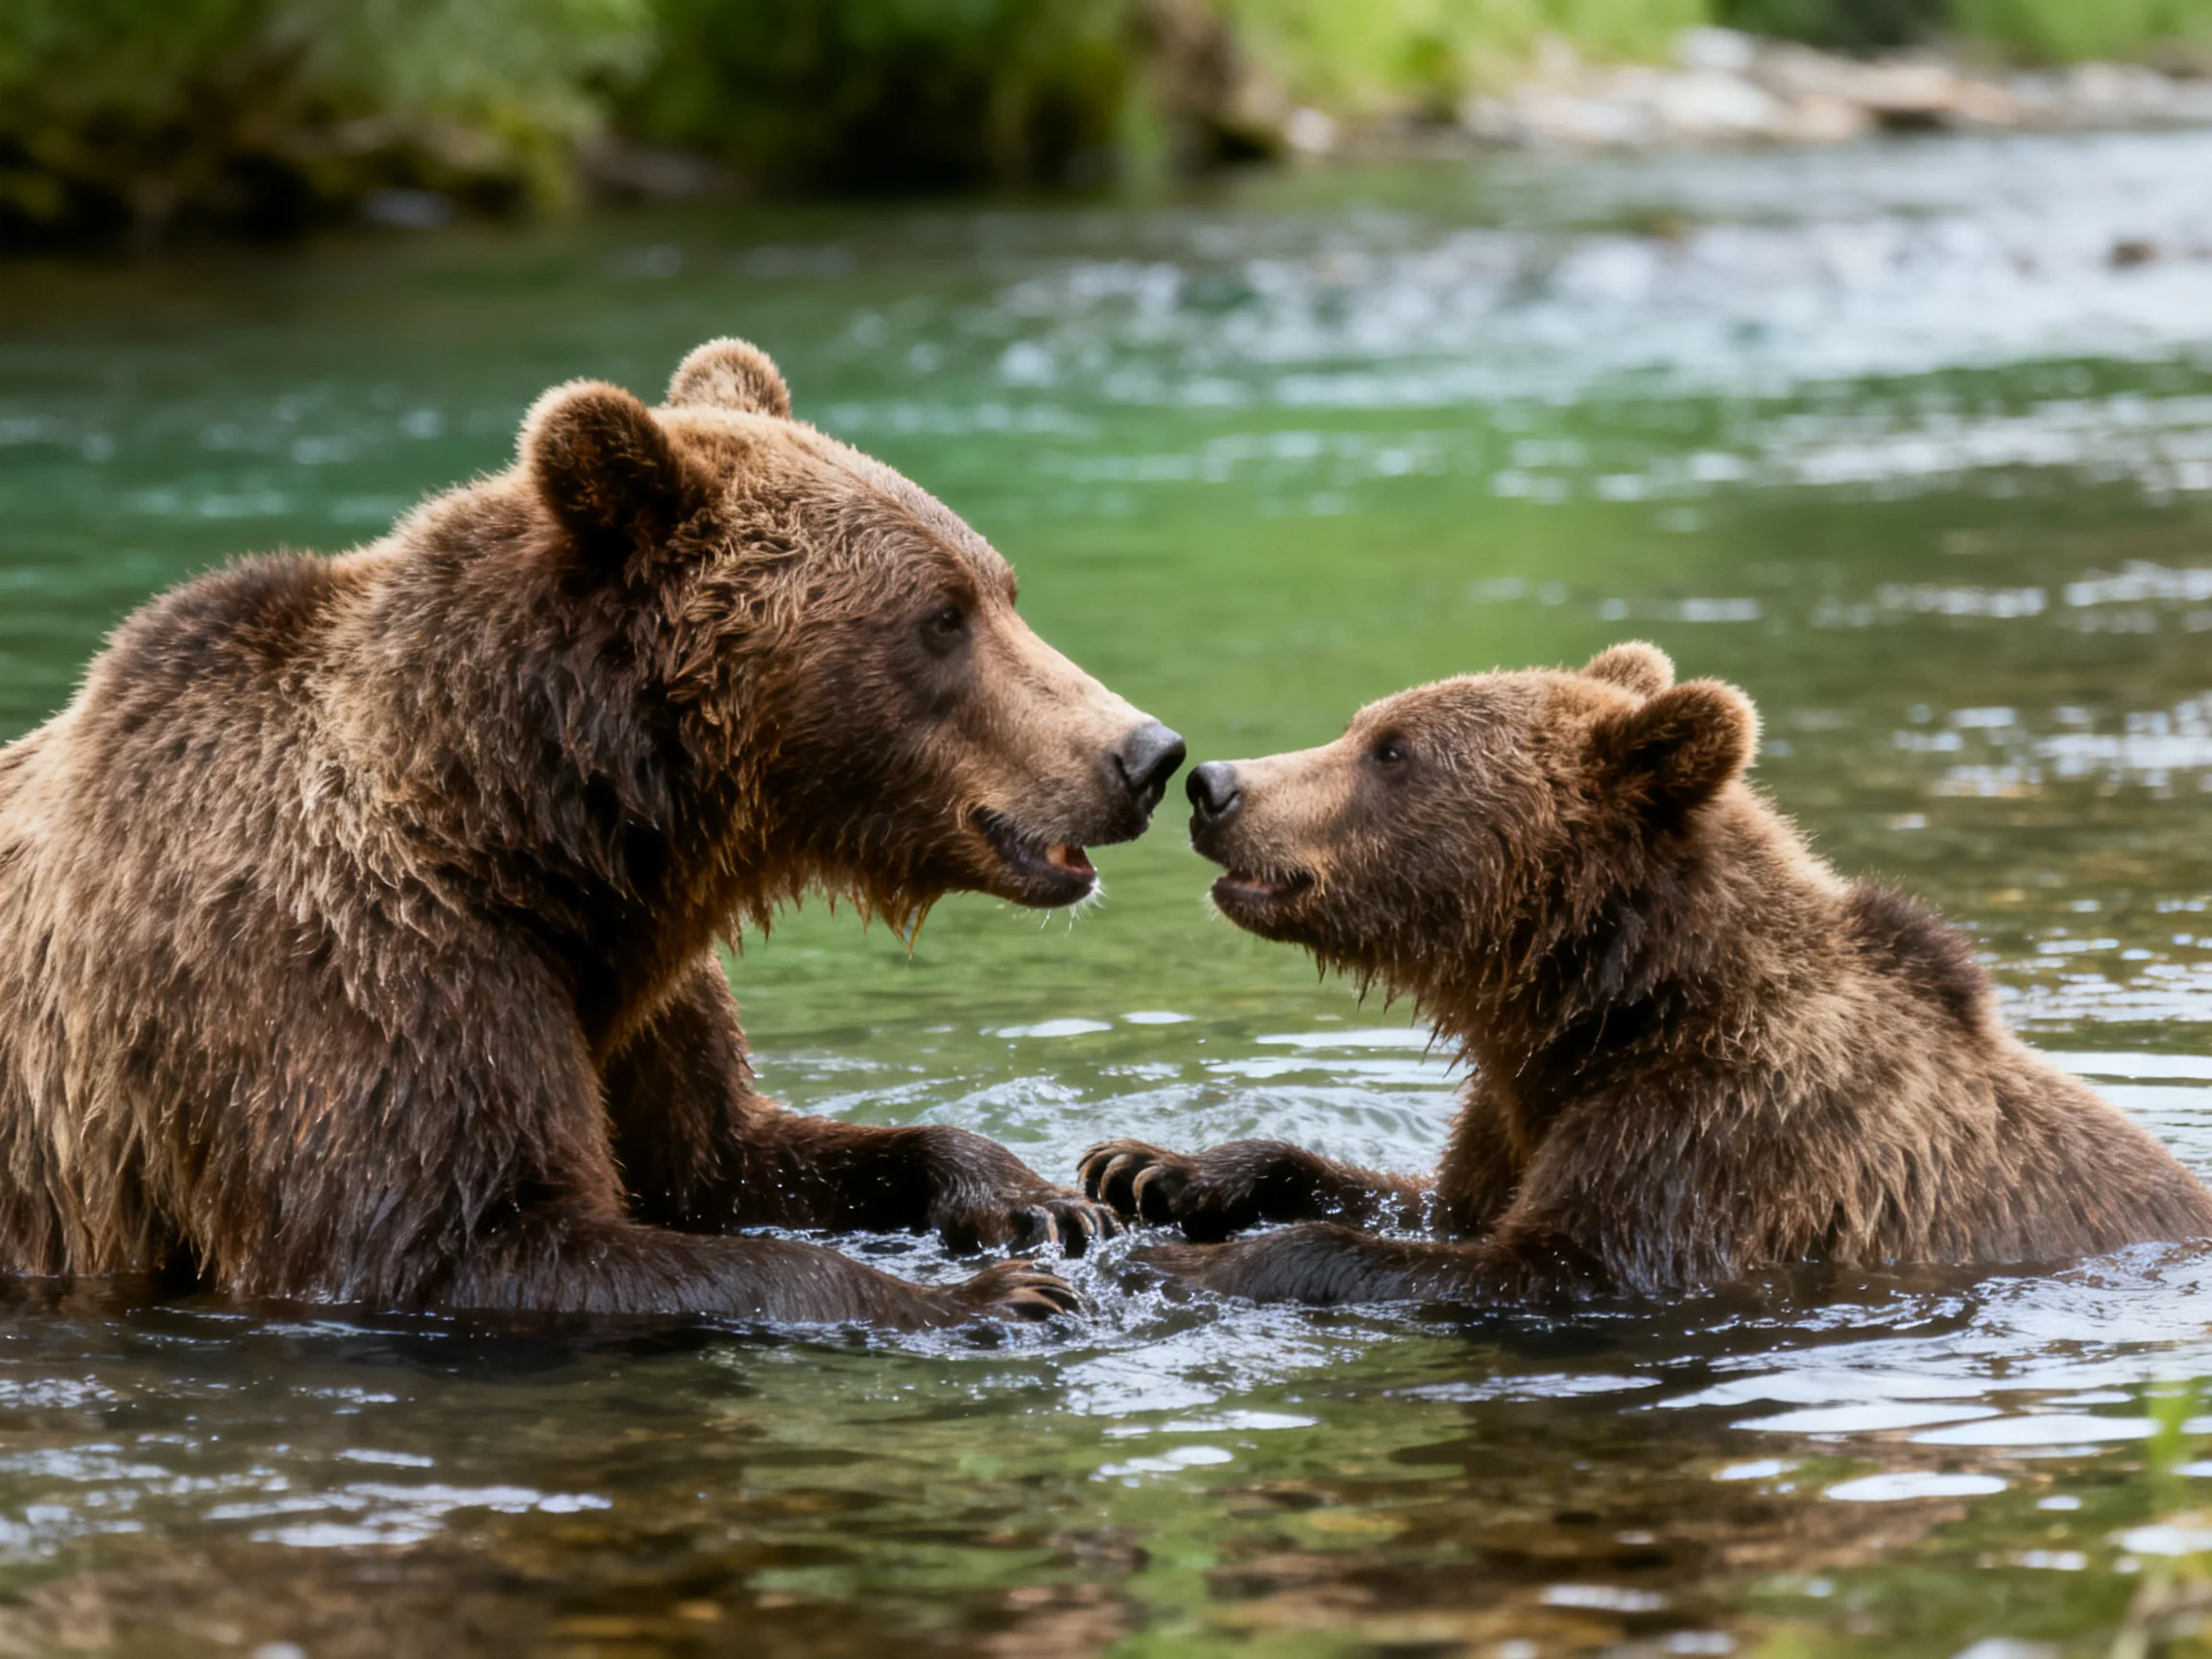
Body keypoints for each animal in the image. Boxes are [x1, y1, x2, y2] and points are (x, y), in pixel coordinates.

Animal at [0, 338, 1189, 1329]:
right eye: (939, 617)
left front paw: (1038, 1202)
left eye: (999, 588)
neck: (527, 835)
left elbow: (730, 1153)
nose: (1145, 752)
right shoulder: (343, 973)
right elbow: (451, 1243)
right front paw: (988, 1296)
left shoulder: (632, 991)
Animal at [1080, 642, 2212, 1305]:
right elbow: (1428, 1201)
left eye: (1393, 751)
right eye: (1363, 724)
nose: (1216, 784)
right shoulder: (1518, 1112)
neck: (1605, 1006)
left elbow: (1537, 1268)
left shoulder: (1719, 1137)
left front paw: (1182, 1260)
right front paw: (1149, 1168)